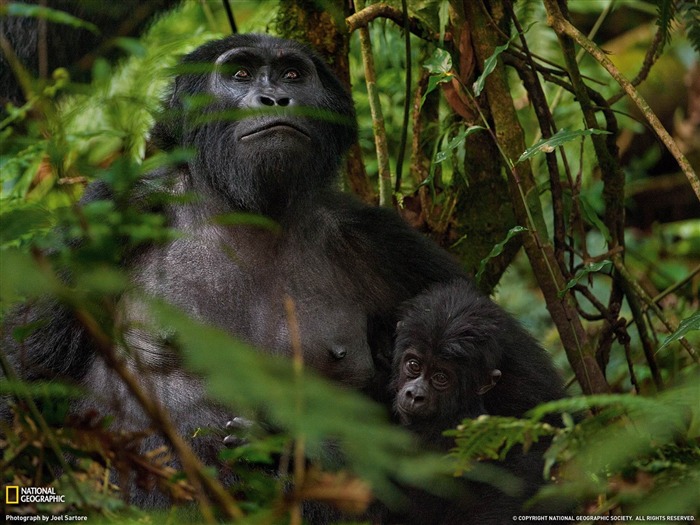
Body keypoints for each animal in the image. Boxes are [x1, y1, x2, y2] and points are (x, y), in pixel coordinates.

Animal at [5, 34, 468, 506]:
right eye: (240, 74)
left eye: (293, 75)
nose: (275, 97)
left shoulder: (384, 243)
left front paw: (278, 443)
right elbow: (29, 374)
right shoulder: (109, 215)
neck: (245, 207)